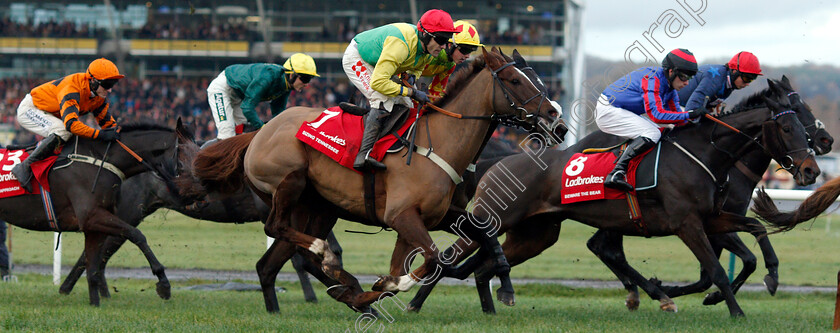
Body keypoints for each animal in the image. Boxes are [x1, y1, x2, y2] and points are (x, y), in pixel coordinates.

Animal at [0, 120, 202, 306]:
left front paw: (94, 303)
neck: (99, 160)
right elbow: (137, 235)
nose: (201, 192)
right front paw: (163, 284)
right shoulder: (92, 216)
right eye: (183, 160)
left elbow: (92, 266)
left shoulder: (94, 225)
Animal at [194, 45, 568, 310]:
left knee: (272, 261)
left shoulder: (436, 216)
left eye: (539, 80)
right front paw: (386, 286)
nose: (558, 122)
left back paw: (343, 289)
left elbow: (483, 233)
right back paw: (333, 267)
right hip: (290, 182)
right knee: (280, 230)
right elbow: (429, 260)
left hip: (318, 208)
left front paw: (504, 284)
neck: (438, 144)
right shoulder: (402, 216)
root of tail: (258, 132)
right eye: (516, 81)